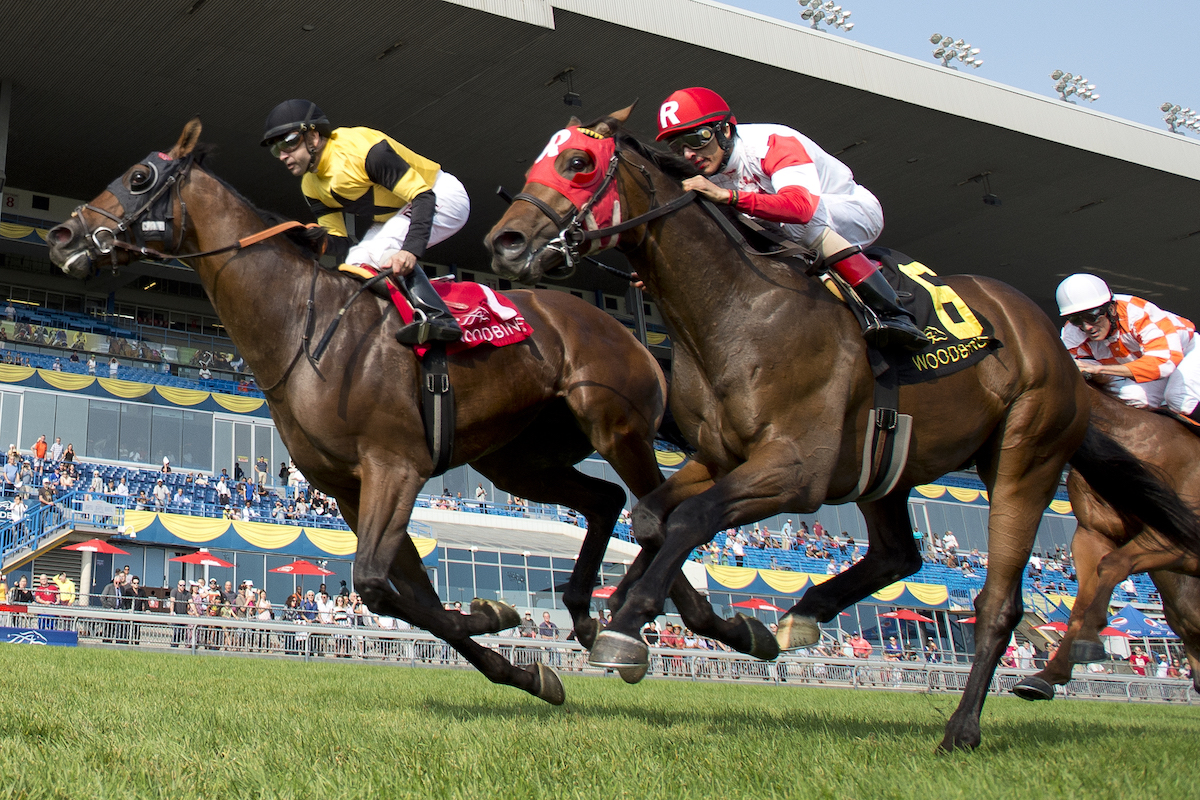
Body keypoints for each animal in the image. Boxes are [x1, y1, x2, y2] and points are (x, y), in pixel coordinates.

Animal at [44, 118, 686, 705]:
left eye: (139, 177)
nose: (60, 235)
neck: (301, 328)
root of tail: (623, 330)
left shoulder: (394, 466)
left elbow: (376, 584)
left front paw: (496, 620)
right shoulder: (349, 488)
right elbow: (412, 594)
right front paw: (519, 657)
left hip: (617, 427)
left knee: (655, 509)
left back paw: (642, 624)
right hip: (523, 461)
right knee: (608, 501)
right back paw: (595, 619)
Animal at [1017, 388, 1200, 700]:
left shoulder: (1181, 538)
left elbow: (1114, 563)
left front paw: (1089, 640)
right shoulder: (1092, 533)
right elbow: (1081, 603)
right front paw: (1048, 675)